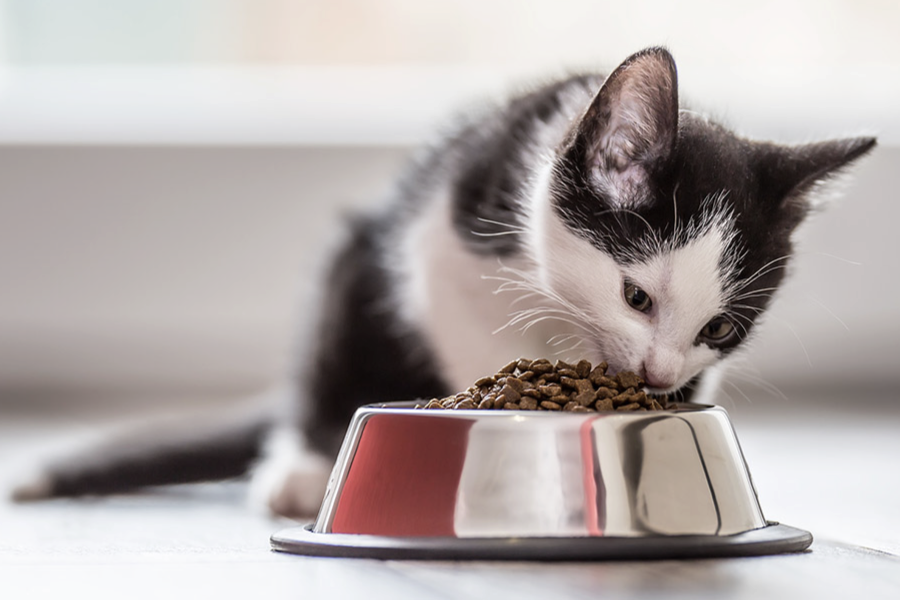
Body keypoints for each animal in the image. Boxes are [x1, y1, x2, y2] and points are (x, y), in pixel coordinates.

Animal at [10, 48, 876, 516]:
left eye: (720, 328)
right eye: (636, 296)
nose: (659, 375)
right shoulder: (440, 244)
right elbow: (469, 338)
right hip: (356, 266)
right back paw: (301, 469)